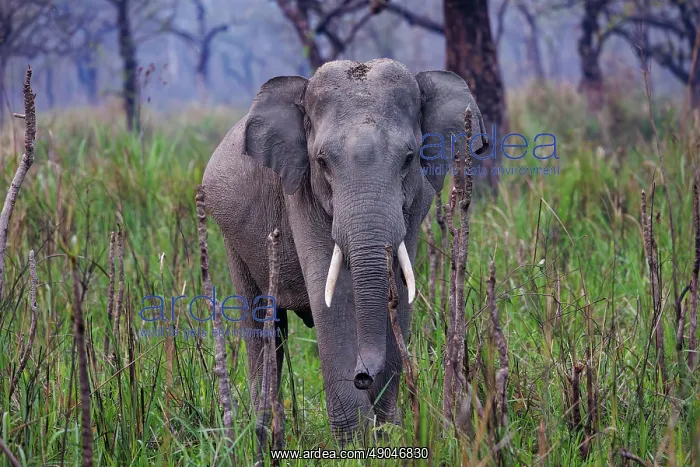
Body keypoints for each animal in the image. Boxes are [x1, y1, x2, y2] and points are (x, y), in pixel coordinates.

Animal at [202, 58, 489, 444]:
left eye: (409, 158)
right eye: (322, 162)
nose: (362, 375)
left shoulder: (416, 205)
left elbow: (400, 292)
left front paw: (387, 437)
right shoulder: (302, 195)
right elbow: (334, 301)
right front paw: (356, 443)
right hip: (231, 237)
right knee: (261, 323)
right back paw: (264, 437)